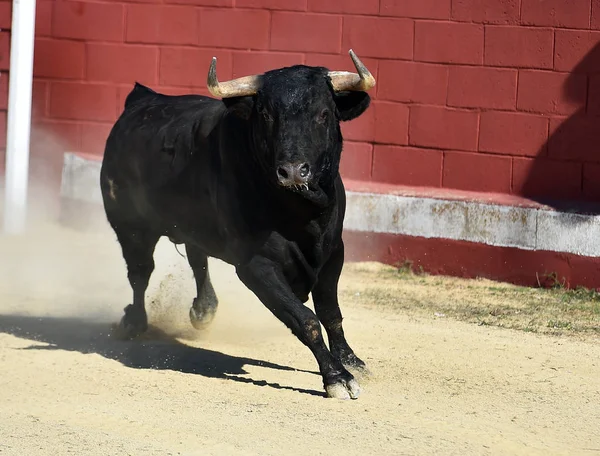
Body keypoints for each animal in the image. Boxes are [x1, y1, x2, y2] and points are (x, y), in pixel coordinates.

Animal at [101, 50, 378, 400]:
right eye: (266, 115)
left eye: (324, 113)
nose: (292, 171)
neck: (301, 214)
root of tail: (142, 99)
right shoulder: (256, 266)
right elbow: (307, 320)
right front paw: (336, 377)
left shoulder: (333, 252)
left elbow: (331, 314)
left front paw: (351, 361)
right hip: (130, 226)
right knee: (140, 272)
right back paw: (135, 322)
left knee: (196, 257)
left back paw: (204, 309)